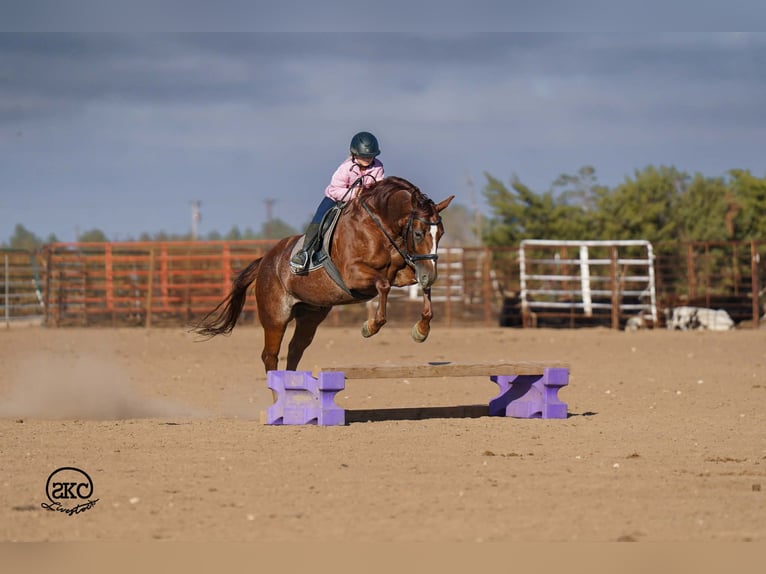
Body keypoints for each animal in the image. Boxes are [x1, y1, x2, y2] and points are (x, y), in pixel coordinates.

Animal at [194, 176, 455, 373]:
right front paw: (370, 326)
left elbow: (419, 287)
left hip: (310, 315)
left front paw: (421, 330)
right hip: (275, 317)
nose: (431, 274)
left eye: (441, 233)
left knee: (295, 350)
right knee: (270, 356)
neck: (379, 226)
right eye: (419, 233)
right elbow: (382, 285)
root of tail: (265, 261)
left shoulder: (402, 274)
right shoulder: (354, 275)